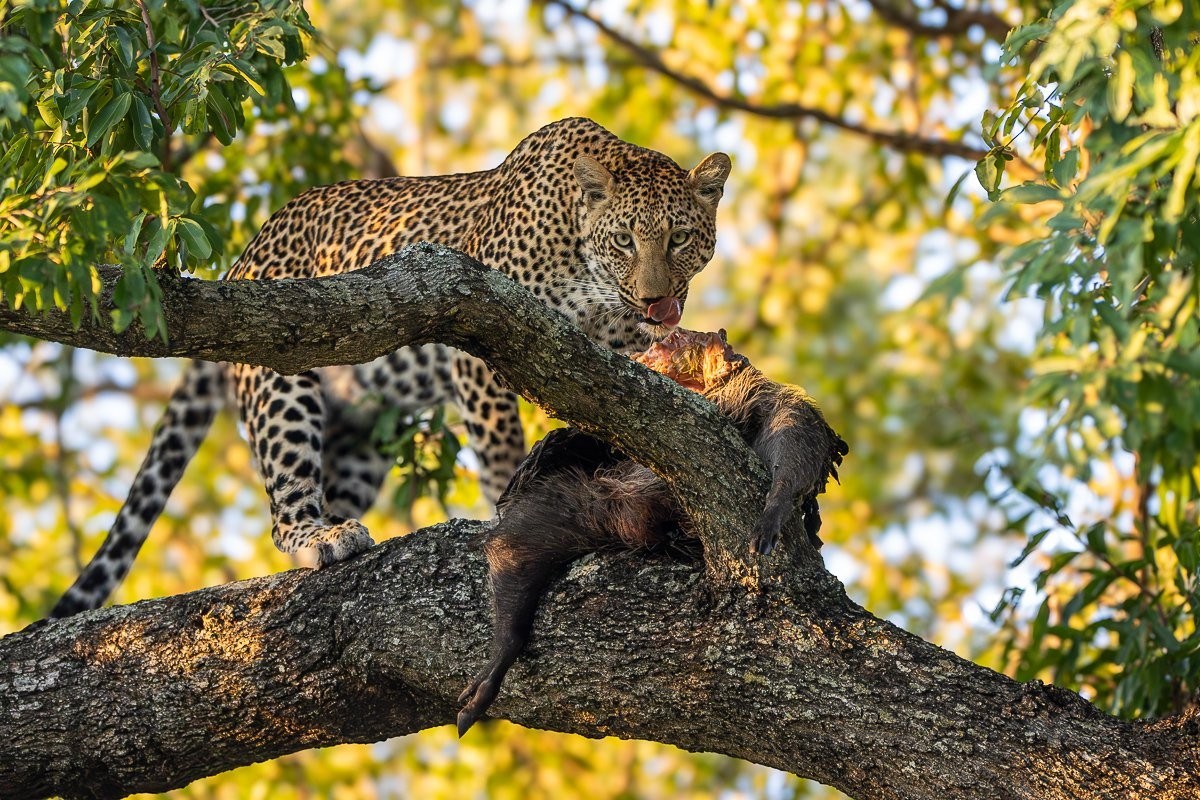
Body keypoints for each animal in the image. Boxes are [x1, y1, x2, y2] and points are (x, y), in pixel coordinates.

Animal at [49, 117, 731, 617]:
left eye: (679, 239)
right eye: (625, 242)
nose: (657, 301)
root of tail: (241, 262)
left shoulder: (619, 363)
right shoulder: (485, 341)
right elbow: (501, 445)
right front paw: (507, 508)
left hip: (363, 440)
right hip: (282, 381)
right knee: (285, 501)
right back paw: (320, 537)